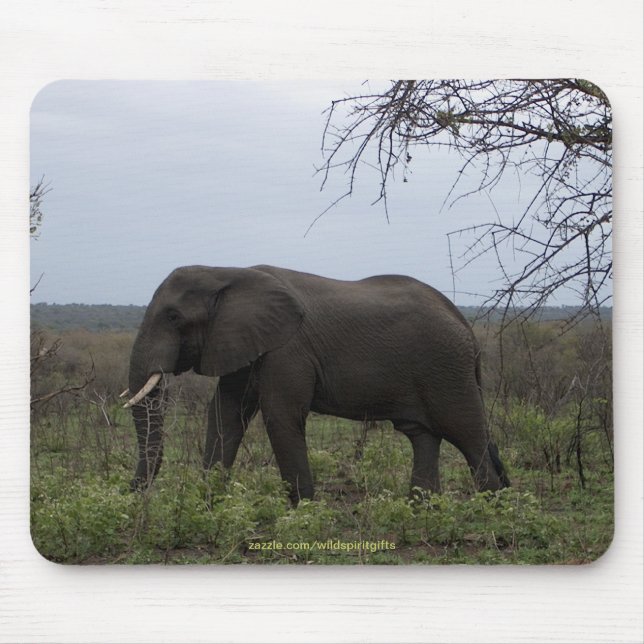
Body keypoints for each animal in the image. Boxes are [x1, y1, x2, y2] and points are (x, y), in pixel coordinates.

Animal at [124, 264, 510, 504]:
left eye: (174, 317)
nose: (131, 493)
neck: (227, 272)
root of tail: (466, 325)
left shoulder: (287, 348)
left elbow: (280, 416)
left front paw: (303, 514)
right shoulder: (240, 341)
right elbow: (225, 414)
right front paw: (209, 503)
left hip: (447, 369)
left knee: (468, 435)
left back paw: (490, 511)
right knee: (423, 436)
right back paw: (419, 511)